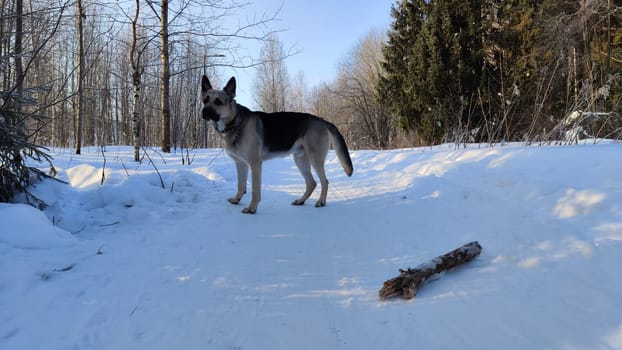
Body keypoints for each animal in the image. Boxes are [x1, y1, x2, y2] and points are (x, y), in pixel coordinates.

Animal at [202, 75, 354, 215]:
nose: (204, 112)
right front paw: (236, 200)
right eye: (205, 100)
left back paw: (321, 201)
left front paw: (252, 208)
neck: (234, 122)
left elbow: (255, 190)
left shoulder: (255, 164)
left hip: (315, 159)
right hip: (300, 160)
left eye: (218, 102)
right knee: (312, 183)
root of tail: (322, 120)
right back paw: (301, 200)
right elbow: (241, 185)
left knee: (324, 182)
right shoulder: (241, 164)